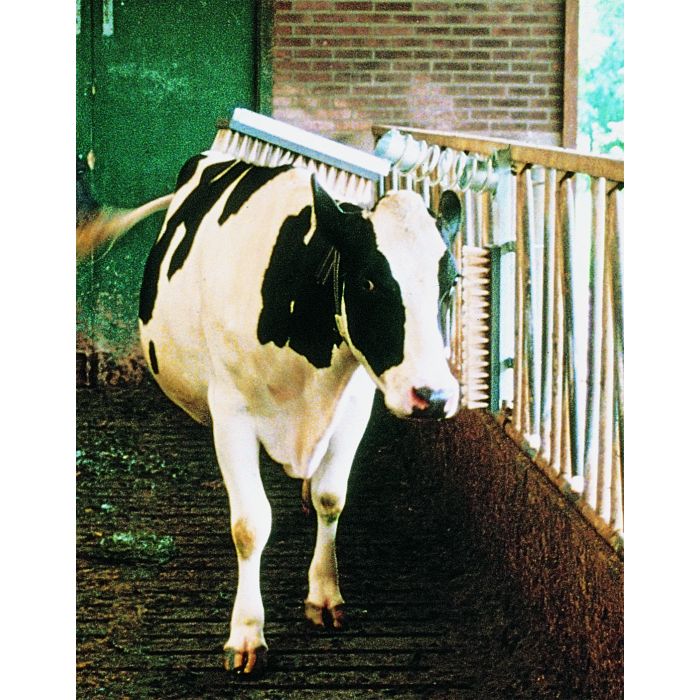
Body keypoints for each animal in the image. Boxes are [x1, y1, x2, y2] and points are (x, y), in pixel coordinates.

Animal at [82, 150, 462, 675]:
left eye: (453, 283)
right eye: (369, 281)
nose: (435, 396)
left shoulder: (355, 408)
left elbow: (331, 498)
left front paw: (324, 595)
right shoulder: (232, 414)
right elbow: (250, 524)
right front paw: (246, 634)